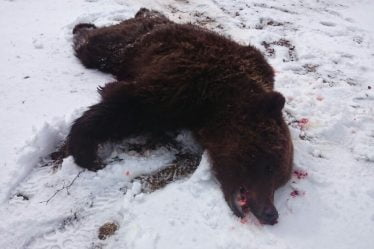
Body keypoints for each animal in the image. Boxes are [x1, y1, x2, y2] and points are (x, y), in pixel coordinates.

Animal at [68, 8, 294, 225]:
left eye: (280, 181)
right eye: (269, 167)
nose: (271, 213)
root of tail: (147, 14)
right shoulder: (185, 81)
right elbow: (128, 105)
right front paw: (86, 151)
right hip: (128, 44)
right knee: (96, 47)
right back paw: (81, 27)